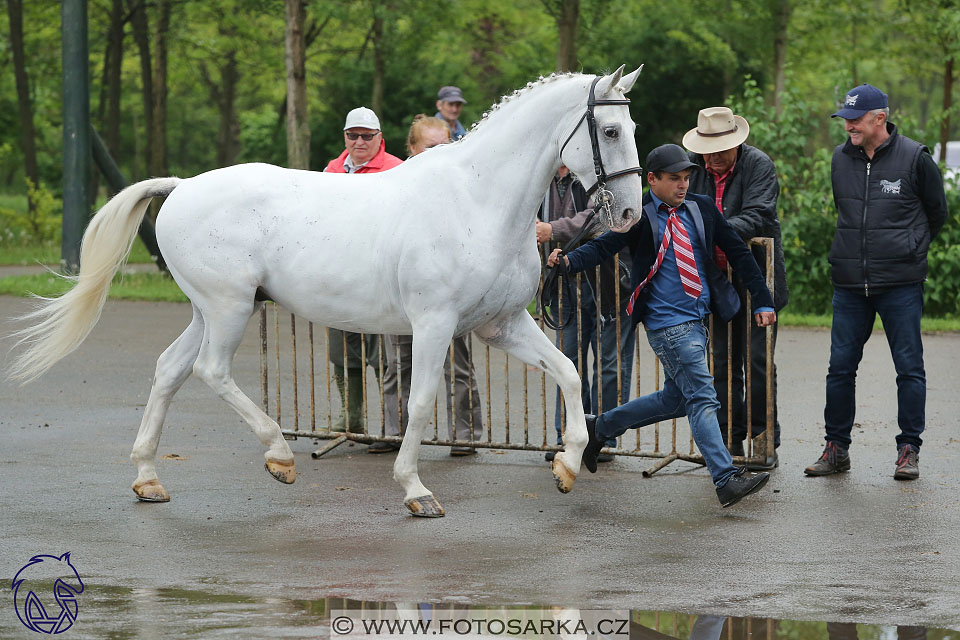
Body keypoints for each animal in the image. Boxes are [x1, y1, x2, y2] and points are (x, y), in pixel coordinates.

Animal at [9, 66, 644, 516]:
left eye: (633, 130)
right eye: (611, 130)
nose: (631, 215)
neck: (477, 201)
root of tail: (182, 187)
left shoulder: (501, 325)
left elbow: (569, 372)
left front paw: (568, 464)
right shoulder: (434, 324)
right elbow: (419, 403)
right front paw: (415, 491)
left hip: (207, 311)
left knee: (169, 370)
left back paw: (148, 480)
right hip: (229, 308)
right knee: (211, 371)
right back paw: (279, 454)